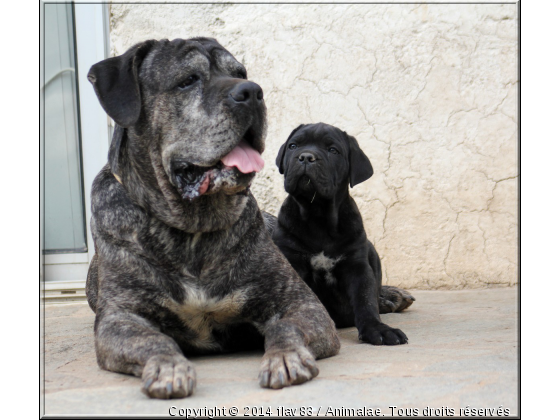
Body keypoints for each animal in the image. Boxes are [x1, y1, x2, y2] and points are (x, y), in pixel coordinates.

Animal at [84, 39, 336, 400]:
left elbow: (286, 327)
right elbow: (153, 339)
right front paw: (169, 367)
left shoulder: (298, 302)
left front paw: (284, 357)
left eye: (241, 73)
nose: (252, 92)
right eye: (188, 80)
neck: (194, 228)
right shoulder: (120, 317)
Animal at [272, 123, 416, 346]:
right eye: (293, 146)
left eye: (333, 150)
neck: (318, 215)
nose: (306, 157)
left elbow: (365, 301)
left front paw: (378, 329)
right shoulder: (291, 261)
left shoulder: (357, 266)